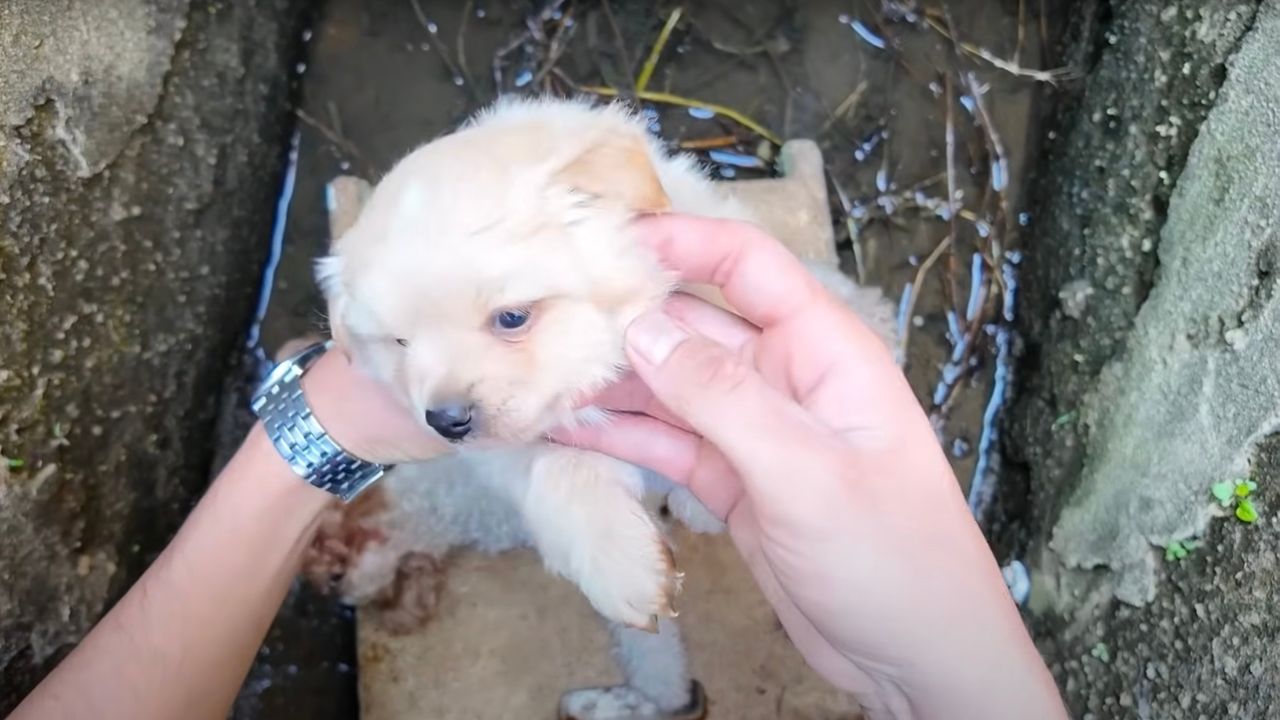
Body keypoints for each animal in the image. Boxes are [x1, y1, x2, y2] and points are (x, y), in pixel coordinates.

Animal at [304, 98, 896, 712]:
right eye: (399, 343)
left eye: (512, 317)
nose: (447, 421)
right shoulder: (512, 453)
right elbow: (555, 473)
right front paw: (624, 568)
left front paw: (700, 503)